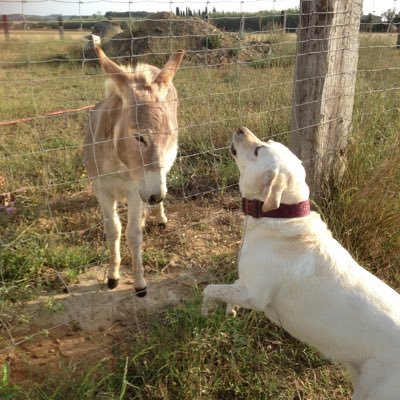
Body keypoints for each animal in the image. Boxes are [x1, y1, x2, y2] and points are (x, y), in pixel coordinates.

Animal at [202, 126, 400, 398]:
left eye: (258, 150)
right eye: (265, 142)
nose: (241, 129)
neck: (282, 216)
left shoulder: (254, 295)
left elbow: (209, 289)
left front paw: (206, 309)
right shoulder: (245, 283)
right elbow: (228, 287)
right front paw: (229, 309)